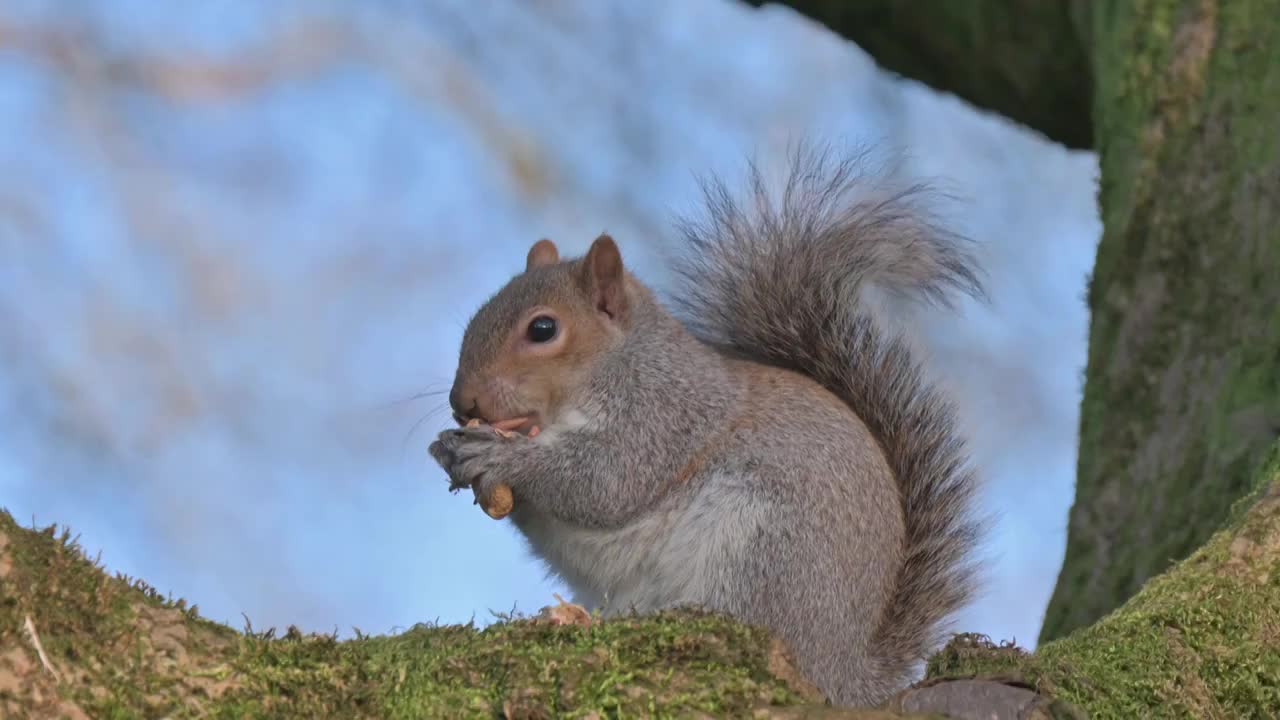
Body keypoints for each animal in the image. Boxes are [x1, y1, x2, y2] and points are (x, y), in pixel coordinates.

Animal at [427, 147, 977, 707]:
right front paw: (452, 452)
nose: (461, 402)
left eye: (543, 329)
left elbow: (603, 483)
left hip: (763, 549)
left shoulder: (664, 417)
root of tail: (845, 675)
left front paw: (501, 456)